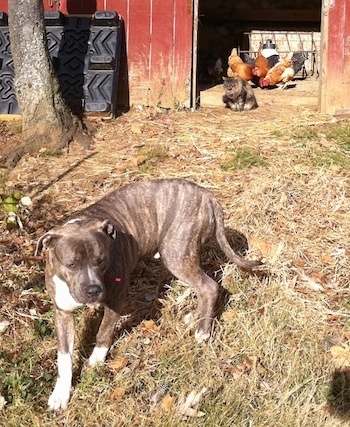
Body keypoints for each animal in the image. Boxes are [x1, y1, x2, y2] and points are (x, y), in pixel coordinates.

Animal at [36, 177, 262, 412]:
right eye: (71, 264)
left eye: (101, 260)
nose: (93, 290)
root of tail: (207, 196)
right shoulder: (62, 312)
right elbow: (64, 357)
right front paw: (60, 394)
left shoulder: (116, 297)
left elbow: (104, 332)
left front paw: (96, 362)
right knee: (201, 288)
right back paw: (195, 318)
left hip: (176, 254)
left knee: (208, 287)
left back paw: (203, 330)